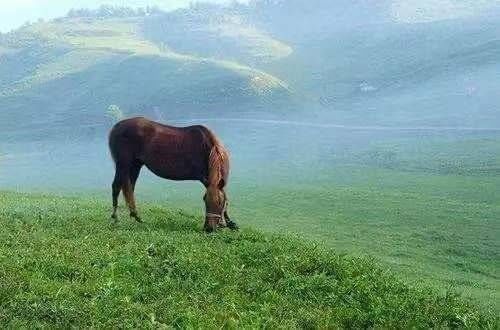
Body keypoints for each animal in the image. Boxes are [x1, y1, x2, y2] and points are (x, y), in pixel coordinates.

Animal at [108, 116, 237, 232]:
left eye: (220, 203)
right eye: (205, 200)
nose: (209, 229)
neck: (207, 149)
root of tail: (116, 127)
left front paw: (231, 223)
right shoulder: (206, 180)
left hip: (135, 165)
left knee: (129, 188)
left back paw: (135, 216)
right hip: (123, 165)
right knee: (116, 187)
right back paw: (115, 218)